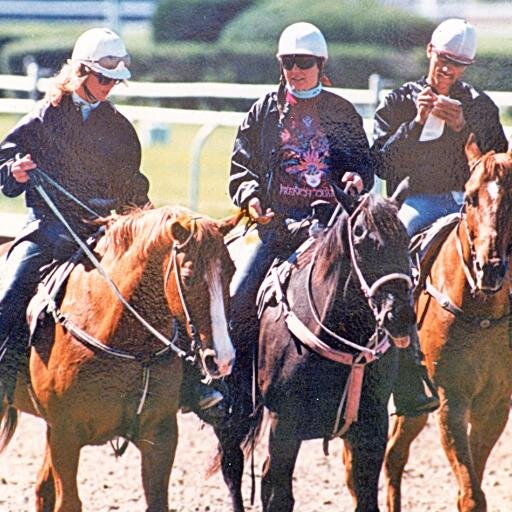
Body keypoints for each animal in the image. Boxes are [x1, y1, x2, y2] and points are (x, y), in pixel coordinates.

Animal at [0, 205, 239, 512]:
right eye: (188, 277)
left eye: (231, 271)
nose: (223, 359)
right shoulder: (65, 435)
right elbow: (69, 502)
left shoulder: (161, 436)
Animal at [215, 182, 416, 510]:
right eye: (359, 236)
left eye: (405, 238)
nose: (399, 315)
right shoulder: (283, 425)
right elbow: (279, 496)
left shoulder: (372, 428)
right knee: (232, 467)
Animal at [386, 136, 512, 512]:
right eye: (469, 197)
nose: (490, 268)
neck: (481, 313)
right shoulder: (449, 401)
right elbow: (472, 495)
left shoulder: (495, 405)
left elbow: (473, 485)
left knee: (394, 455)